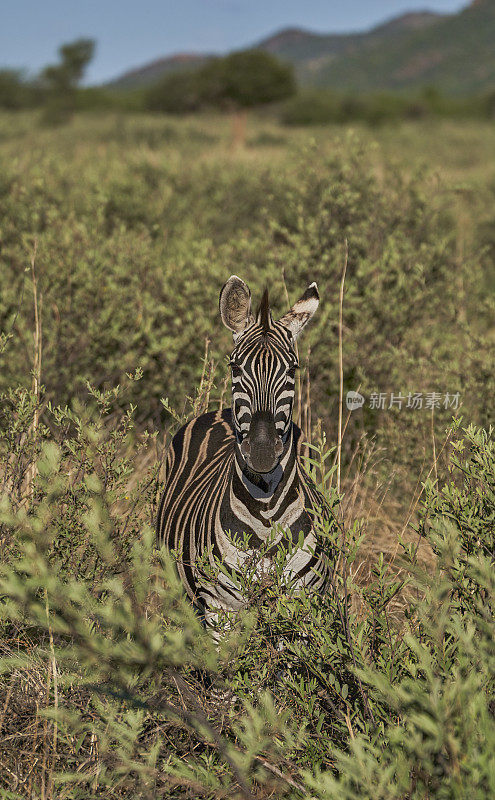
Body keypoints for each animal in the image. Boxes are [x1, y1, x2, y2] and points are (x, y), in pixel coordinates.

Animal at [157, 276, 336, 632]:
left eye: (293, 370)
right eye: (235, 366)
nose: (264, 453)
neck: (265, 513)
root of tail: (218, 411)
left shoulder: (303, 606)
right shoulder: (220, 610)